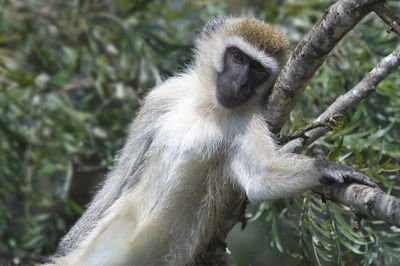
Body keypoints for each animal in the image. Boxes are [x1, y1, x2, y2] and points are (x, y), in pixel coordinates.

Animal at [46, 17, 376, 266]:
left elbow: (261, 178)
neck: (209, 107)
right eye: (237, 56)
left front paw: (327, 168)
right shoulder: (162, 97)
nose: (240, 82)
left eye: (258, 70)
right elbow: (122, 172)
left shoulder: (251, 121)